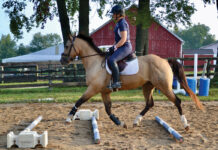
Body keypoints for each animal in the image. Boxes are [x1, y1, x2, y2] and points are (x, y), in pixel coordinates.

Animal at [60, 33, 204, 130]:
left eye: (67, 46)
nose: (62, 60)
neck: (95, 63)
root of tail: (164, 60)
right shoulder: (104, 92)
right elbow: (108, 109)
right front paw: (120, 123)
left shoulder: (93, 88)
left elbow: (79, 101)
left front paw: (68, 118)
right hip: (148, 86)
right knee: (149, 104)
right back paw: (136, 121)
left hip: (164, 87)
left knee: (177, 101)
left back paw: (185, 124)